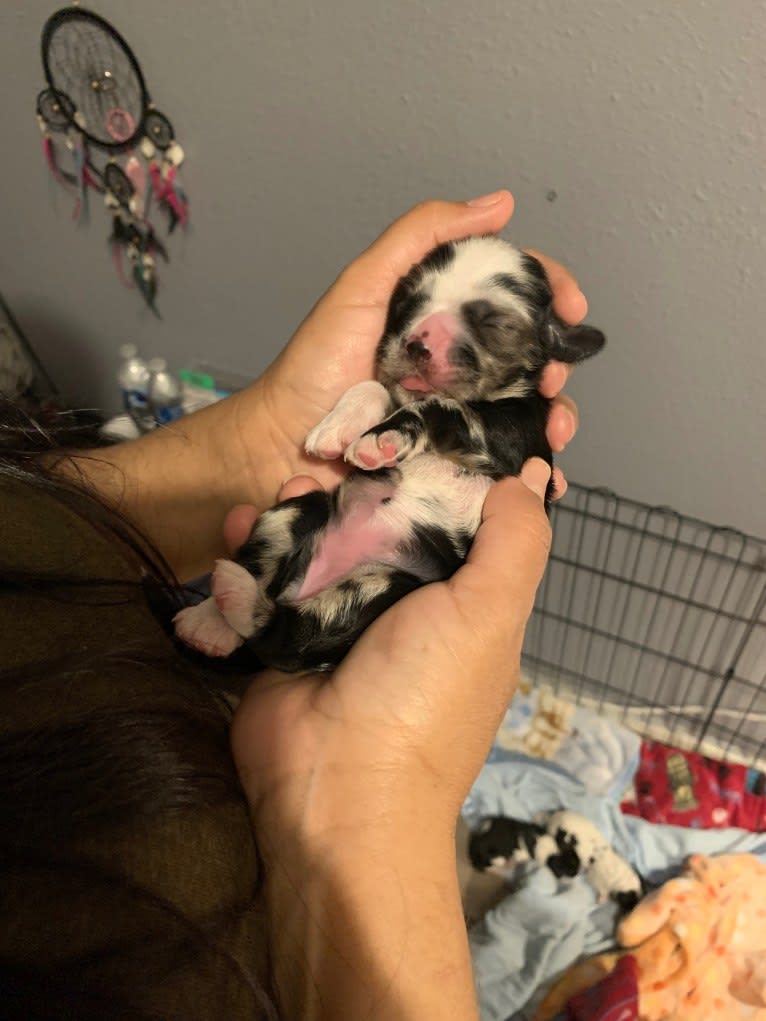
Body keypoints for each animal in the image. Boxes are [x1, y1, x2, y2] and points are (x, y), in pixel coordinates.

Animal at [173, 234, 604, 673]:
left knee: (288, 640)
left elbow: (441, 406)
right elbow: (376, 387)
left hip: (384, 587)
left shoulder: (519, 438)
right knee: (264, 573)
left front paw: (381, 440)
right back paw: (209, 620)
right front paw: (338, 429)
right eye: (410, 300)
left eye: (492, 322)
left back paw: (235, 601)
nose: (416, 345)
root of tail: (304, 585)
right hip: (293, 513)